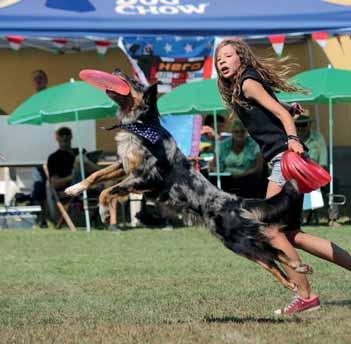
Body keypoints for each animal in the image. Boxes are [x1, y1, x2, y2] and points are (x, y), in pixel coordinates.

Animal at [65, 70, 310, 290]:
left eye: (134, 81)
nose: (116, 70)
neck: (141, 126)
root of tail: (234, 200)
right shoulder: (124, 165)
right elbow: (96, 175)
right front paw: (74, 188)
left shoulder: (146, 177)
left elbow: (108, 190)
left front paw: (104, 212)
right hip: (242, 237)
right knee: (274, 252)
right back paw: (298, 268)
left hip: (235, 239)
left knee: (269, 258)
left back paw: (292, 278)